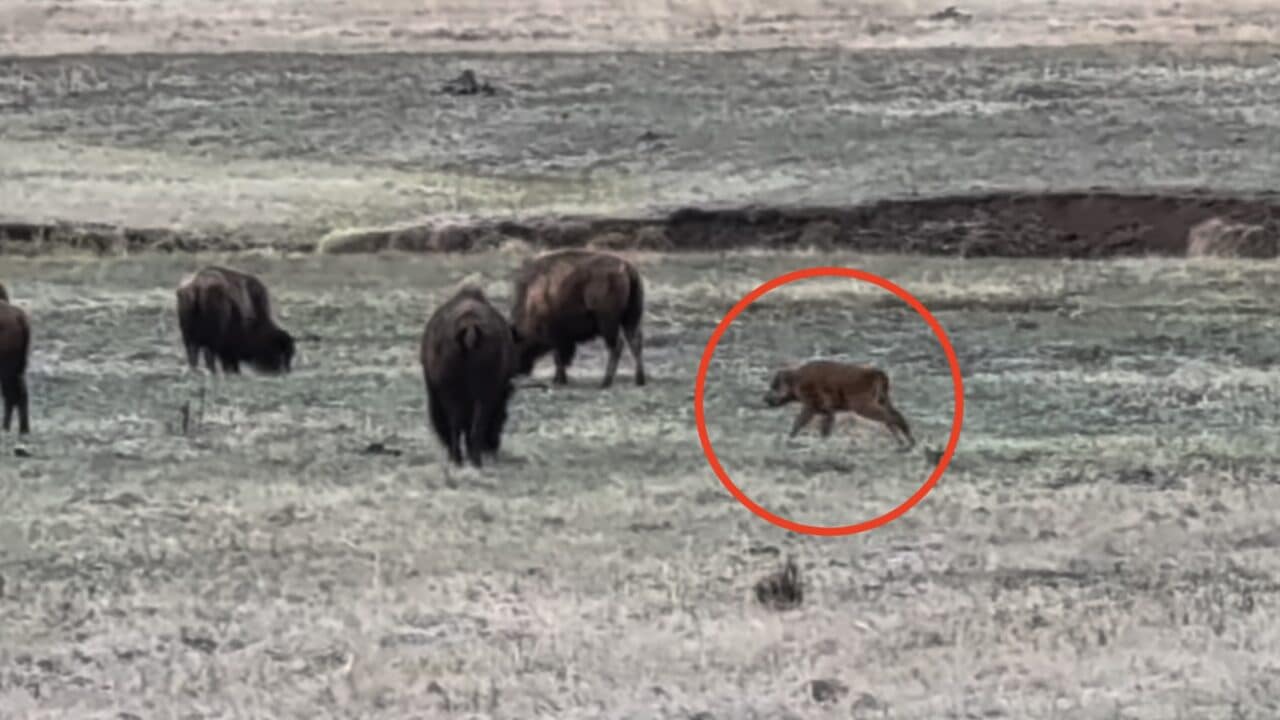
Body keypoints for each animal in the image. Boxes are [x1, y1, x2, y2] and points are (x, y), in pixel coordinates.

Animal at [420, 284, 520, 467]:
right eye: (504, 415)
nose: (494, 445)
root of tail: (470, 328)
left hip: (466, 394)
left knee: (462, 425)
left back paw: (462, 458)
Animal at [508, 249, 646, 388]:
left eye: (516, 346)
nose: (518, 371)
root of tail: (627, 267)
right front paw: (558, 379)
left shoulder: (556, 335)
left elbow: (558, 356)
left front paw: (559, 380)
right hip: (631, 318)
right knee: (635, 342)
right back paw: (639, 380)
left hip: (608, 322)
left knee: (617, 346)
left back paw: (605, 382)